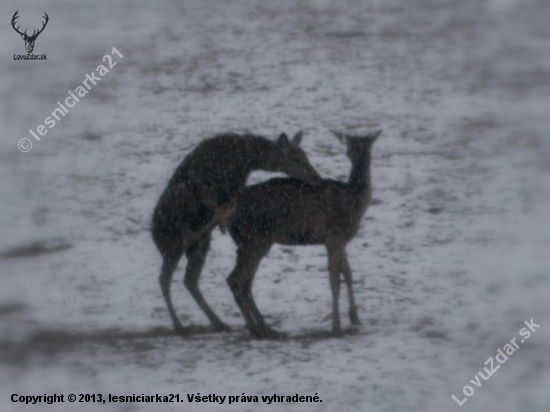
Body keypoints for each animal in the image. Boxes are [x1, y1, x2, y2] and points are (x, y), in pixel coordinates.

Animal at [152, 132, 324, 334]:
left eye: (305, 155)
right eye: (296, 158)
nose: (316, 177)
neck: (244, 160)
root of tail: (154, 238)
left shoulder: (236, 187)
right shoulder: (207, 187)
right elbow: (214, 204)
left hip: (200, 245)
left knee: (189, 280)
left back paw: (220, 323)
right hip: (175, 245)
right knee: (164, 279)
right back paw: (180, 325)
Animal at [225, 130, 384, 338]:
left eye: (364, 147)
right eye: (348, 149)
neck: (354, 202)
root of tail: (228, 217)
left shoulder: (340, 241)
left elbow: (348, 273)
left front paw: (355, 318)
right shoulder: (333, 236)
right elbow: (335, 280)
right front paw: (336, 327)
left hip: (246, 242)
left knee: (242, 281)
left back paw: (263, 327)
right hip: (256, 238)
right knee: (237, 279)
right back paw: (257, 330)